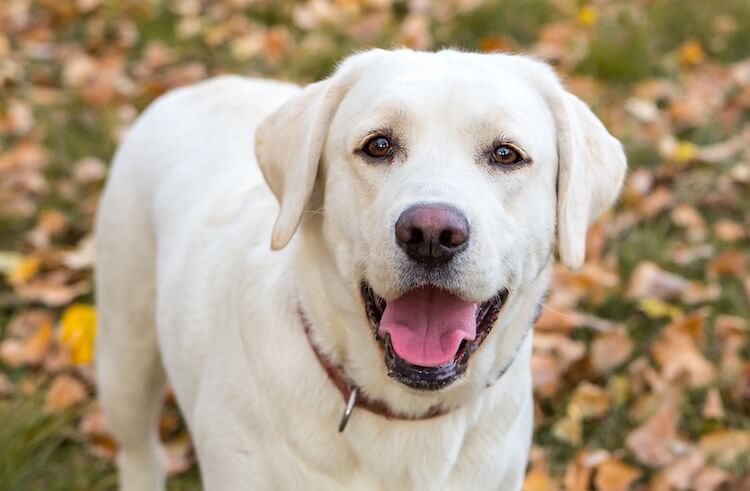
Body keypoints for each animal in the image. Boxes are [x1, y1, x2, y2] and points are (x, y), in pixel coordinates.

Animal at [98, 47, 628, 491]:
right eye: (378, 146)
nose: (431, 234)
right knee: (138, 449)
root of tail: (195, 87)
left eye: (505, 154)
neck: (406, 419)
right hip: (126, 353)